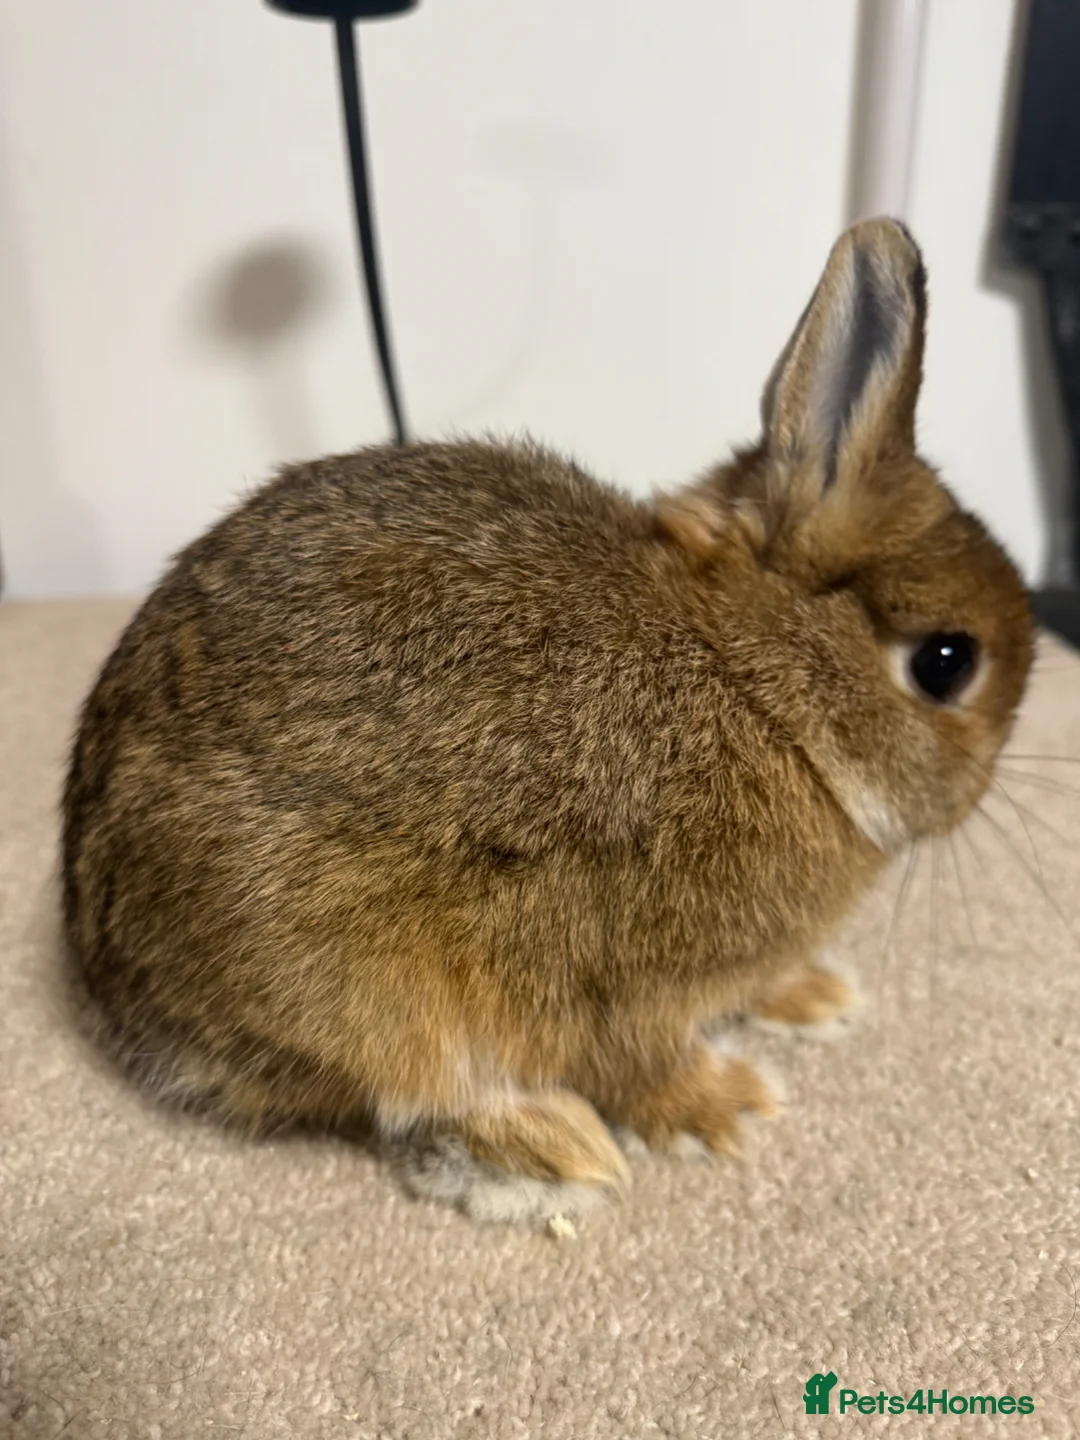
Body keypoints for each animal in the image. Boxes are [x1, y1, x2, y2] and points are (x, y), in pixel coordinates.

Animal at [62, 218, 1033, 1195]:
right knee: (407, 1096)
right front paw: (726, 1110)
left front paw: (816, 996)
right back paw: (554, 1148)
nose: (976, 797)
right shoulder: (625, 974)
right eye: (947, 663)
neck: (761, 690)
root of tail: (106, 980)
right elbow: (637, 1059)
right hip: (357, 988)